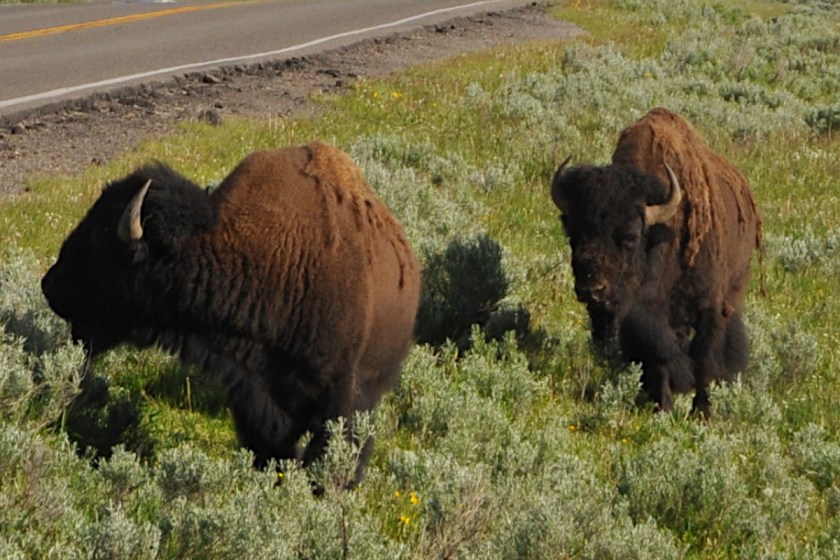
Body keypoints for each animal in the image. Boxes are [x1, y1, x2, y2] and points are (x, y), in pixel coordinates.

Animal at [552, 108, 760, 416]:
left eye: (630, 236)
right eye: (573, 236)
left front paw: (702, 413)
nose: (592, 291)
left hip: (732, 292)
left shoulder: (709, 308)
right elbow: (657, 358)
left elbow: (706, 358)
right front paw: (663, 406)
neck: (660, 237)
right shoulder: (646, 319)